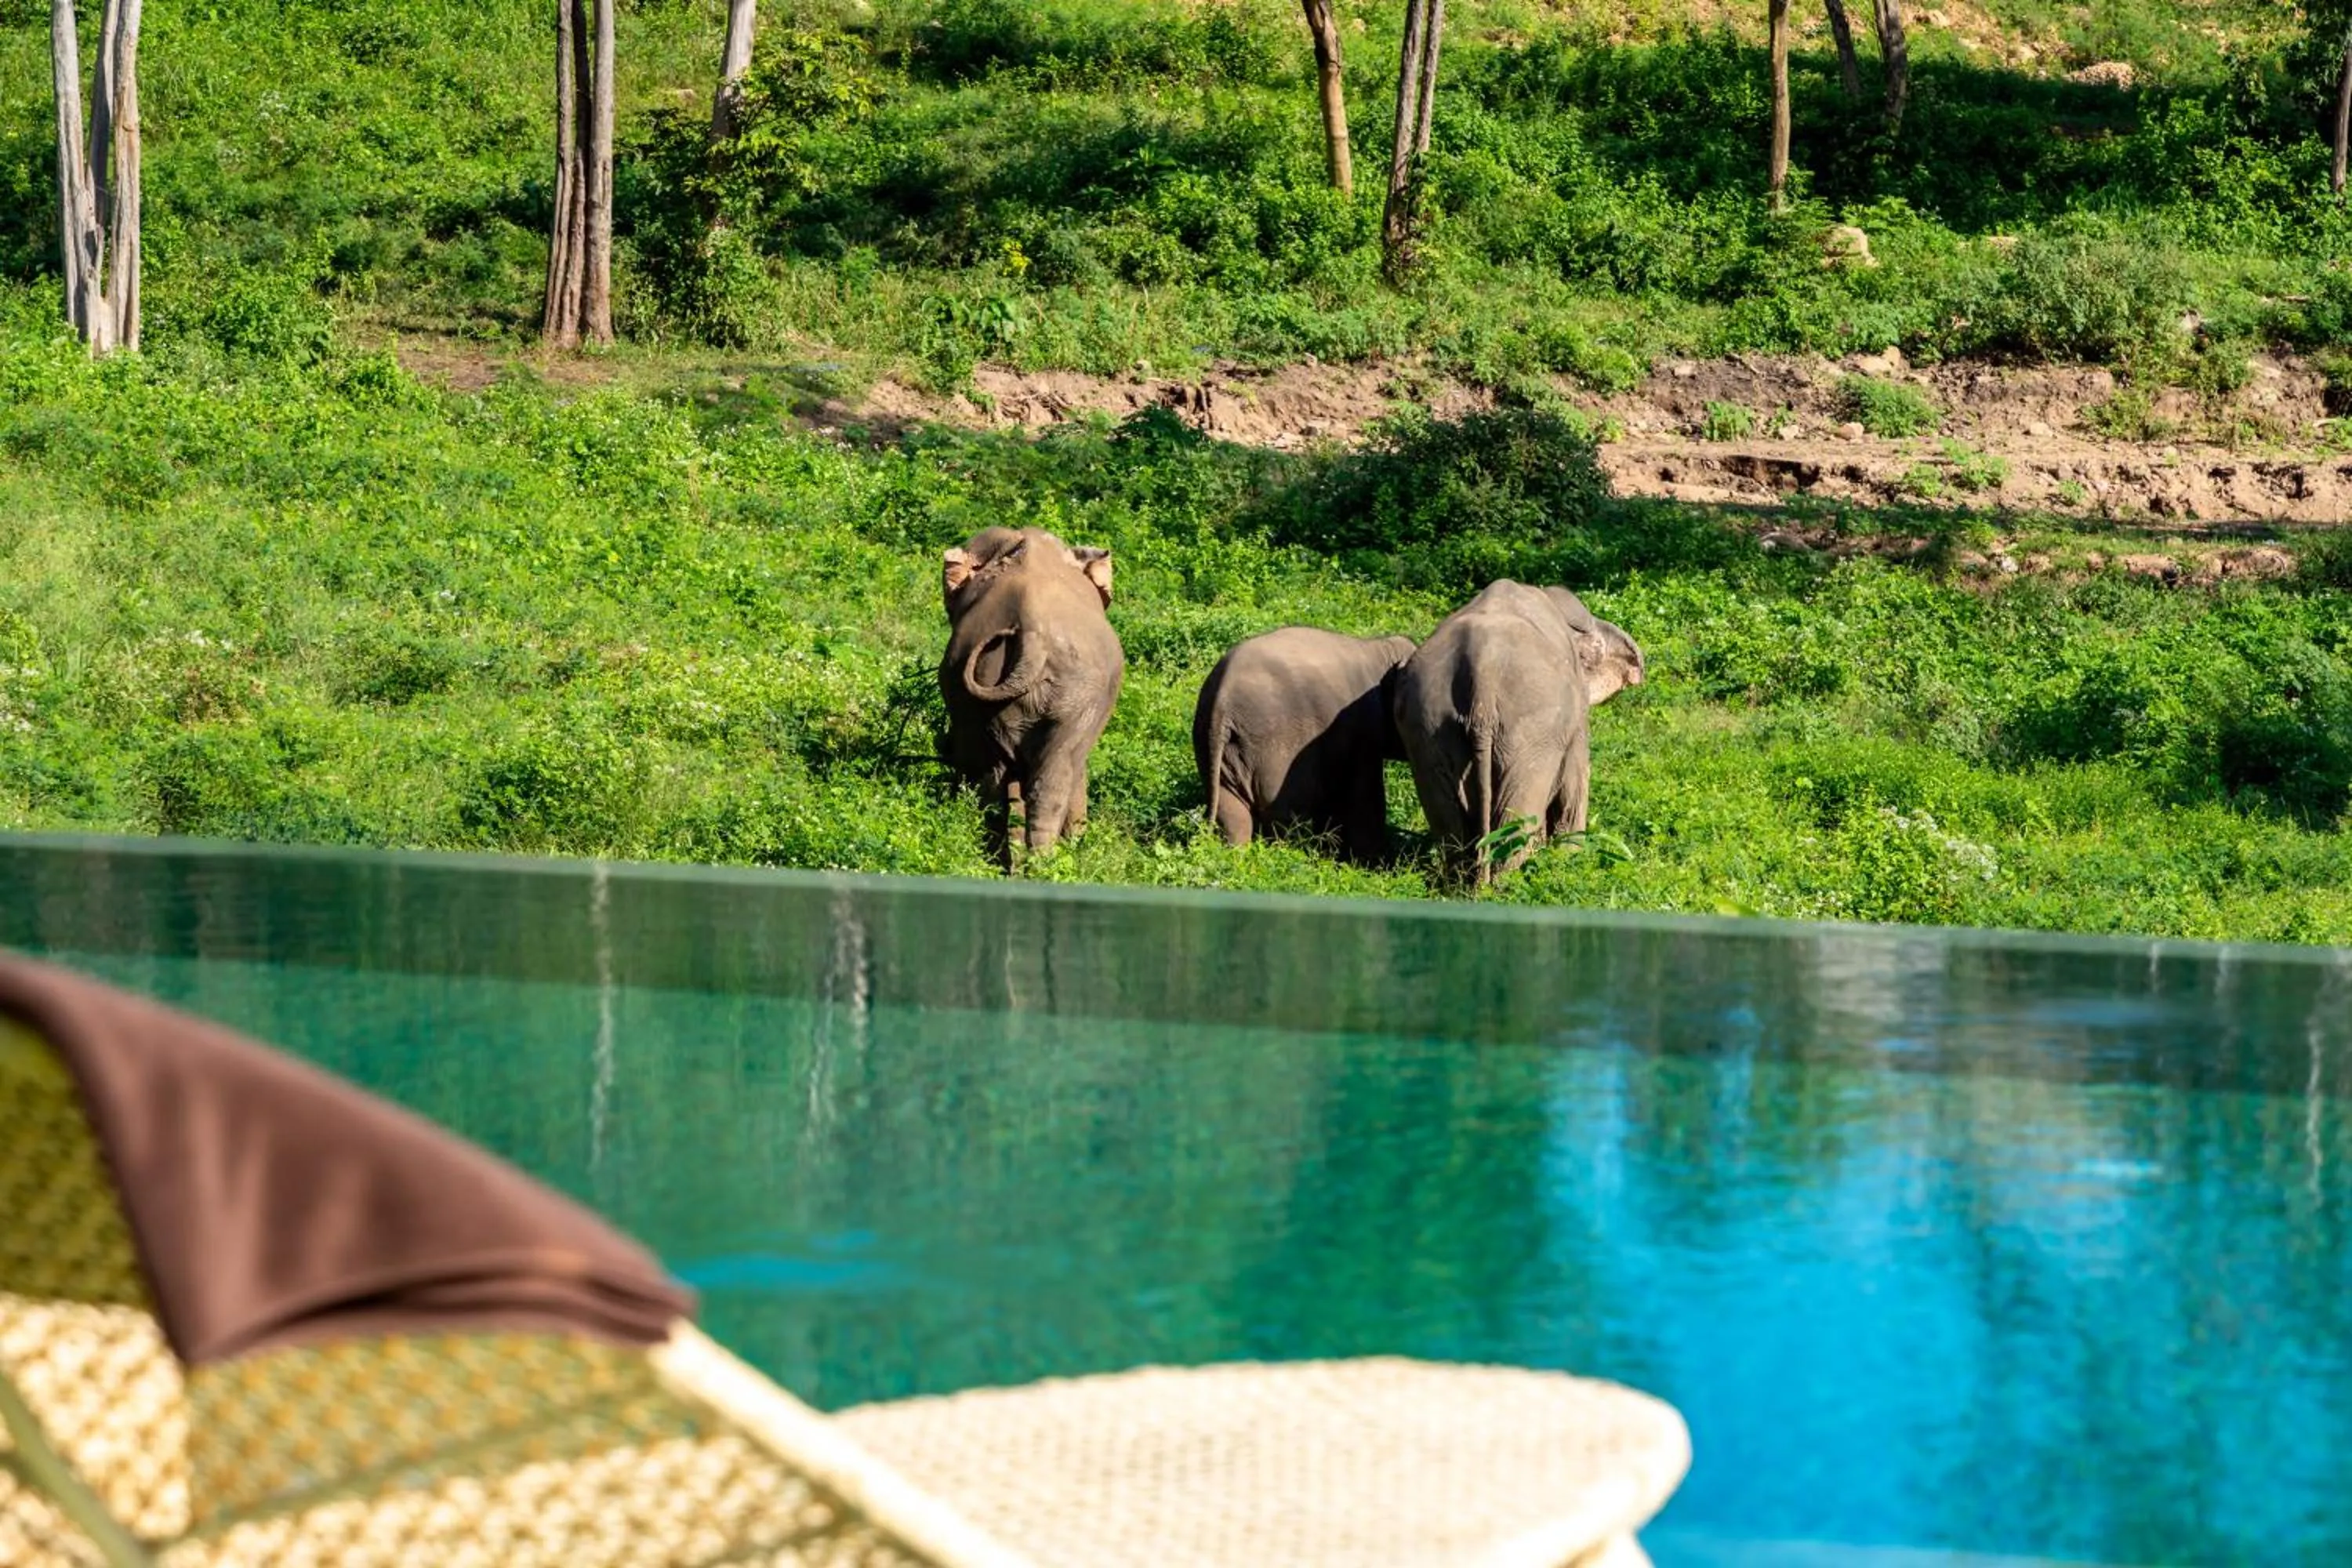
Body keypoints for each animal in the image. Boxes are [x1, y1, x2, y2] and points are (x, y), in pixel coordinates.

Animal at [939, 526, 1125, 865]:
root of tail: (1033, 638)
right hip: (1074, 697)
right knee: (1047, 774)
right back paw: (1042, 862)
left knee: (1001, 776)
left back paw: (1017, 861)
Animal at [1192, 627, 1418, 863]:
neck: (1383, 649)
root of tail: (1223, 699)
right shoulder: (1364, 731)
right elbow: (1365, 794)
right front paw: (1373, 863)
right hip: (1273, 748)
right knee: (1279, 812)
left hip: (1214, 746)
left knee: (1231, 810)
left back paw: (1237, 857)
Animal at [1392, 581, 1645, 885]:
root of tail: (1482, 669)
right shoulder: (1575, 716)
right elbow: (1576, 784)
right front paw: (1571, 862)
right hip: (1532, 731)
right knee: (1518, 815)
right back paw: (1506, 885)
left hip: (1427, 725)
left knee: (1448, 817)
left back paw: (1463, 887)